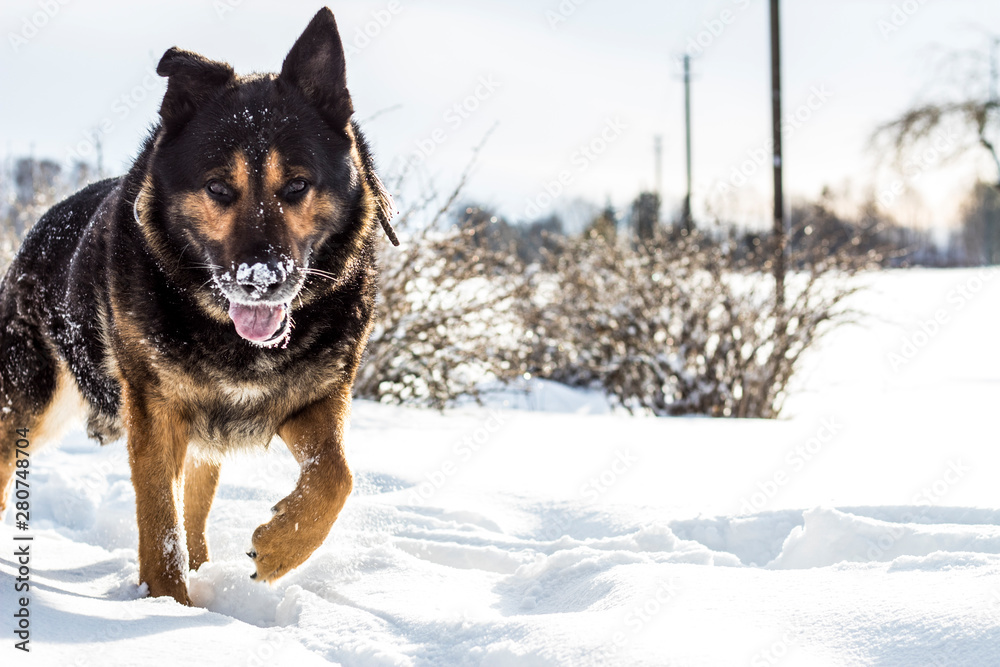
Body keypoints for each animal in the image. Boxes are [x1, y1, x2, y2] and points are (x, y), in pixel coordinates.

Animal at [0, 9, 396, 604]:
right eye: (217, 189)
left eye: (298, 185)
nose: (260, 281)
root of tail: (42, 223)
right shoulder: (156, 414)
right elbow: (159, 520)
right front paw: (166, 605)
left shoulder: (310, 402)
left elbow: (336, 476)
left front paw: (279, 548)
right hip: (35, 401)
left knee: (199, 503)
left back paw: (209, 573)